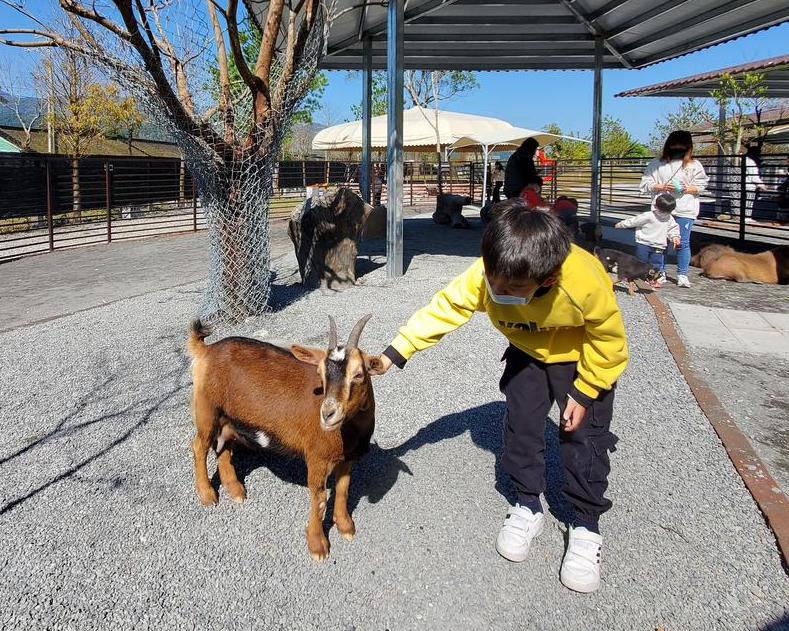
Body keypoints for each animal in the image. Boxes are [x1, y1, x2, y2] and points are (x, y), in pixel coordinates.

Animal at [185, 314, 382, 560]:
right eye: (320, 375)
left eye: (358, 374)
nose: (328, 414)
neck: (350, 432)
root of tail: (206, 350)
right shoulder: (317, 458)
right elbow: (319, 500)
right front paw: (318, 546)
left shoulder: (347, 458)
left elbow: (343, 489)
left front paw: (346, 527)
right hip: (207, 410)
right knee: (199, 446)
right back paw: (207, 495)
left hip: (230, 417)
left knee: (223, 446)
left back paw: (235, 489)